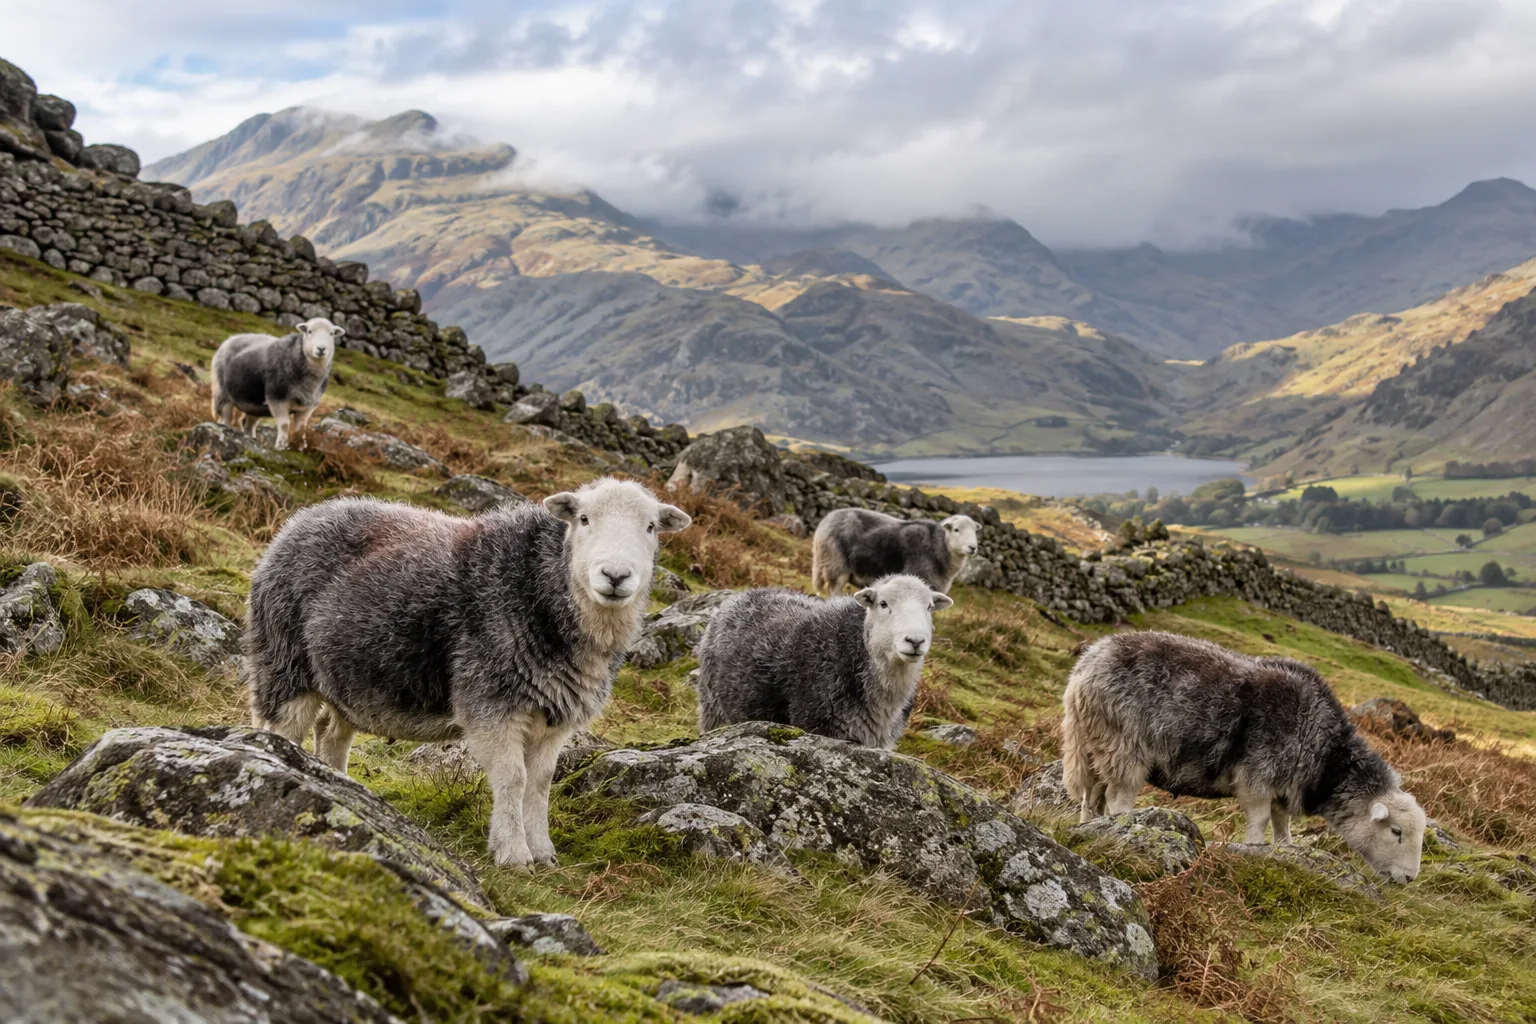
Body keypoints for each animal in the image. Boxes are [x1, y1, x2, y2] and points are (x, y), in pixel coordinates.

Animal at [211, 317, 343, 450]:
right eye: (309, 331)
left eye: (331, 333)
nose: (321, 349)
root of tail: (232, 338)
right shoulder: (277, 399)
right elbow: (284, 424)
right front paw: (281, 446)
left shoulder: (307, 407)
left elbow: (301, 428)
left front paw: (301, 446)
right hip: (223, 393)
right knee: (226, 417)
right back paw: (227, 431)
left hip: (253, 405)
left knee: (249, 425)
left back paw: (251, 439)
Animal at [243, 477, 691, 867]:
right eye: (583, 519)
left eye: (651, 527)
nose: (615, 576)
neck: (541, 591)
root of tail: (302, 519)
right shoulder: (490, 703)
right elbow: (513, 778)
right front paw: (513, 854)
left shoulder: (555, 718)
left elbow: (540, 781)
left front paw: (543, 851)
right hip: (284, 662)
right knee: (278, 727)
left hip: (350, 680)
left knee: (330, 732)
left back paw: (339, 783)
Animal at [696, 574, 952, 749]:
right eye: (883, 603)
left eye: (929, 607)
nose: (915, 641)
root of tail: (743, 594)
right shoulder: (818, 727)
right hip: (713, 709)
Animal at [811, 508, 979, 597]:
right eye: (956, 529)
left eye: (975, 531)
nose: (973, 547)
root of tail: (824, 522)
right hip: (837, 567)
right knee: (833, 592)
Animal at [1062, 631, 1426, 883]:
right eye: (1396, 832)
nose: (1409, 879)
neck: (1324, 756)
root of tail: (1084, 670)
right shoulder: (1257, 777)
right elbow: (1260, 819)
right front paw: (1254, 850)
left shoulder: (1285, 784)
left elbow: (1281, 823)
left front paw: (1284, 848)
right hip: (1124, 745)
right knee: (1117, 797)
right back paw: (1124, 825)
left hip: (1096, 745)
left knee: (1091, 796)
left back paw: (1090, 828)